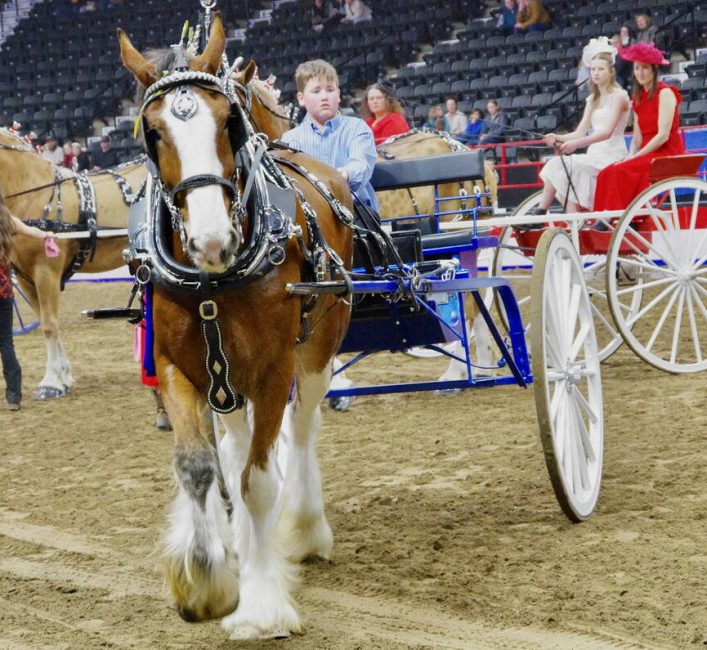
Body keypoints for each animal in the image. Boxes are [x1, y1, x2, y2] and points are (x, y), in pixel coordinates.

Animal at [0, 129, 149, 400]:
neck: (32, 193)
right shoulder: (27, 278)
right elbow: (46, 323)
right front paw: (63, 377)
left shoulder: (46, 273)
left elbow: (49, 325)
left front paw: (51, 383)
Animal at [119, 14, 353, 639]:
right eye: (153, 134)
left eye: (229, 120)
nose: (211, 242)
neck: (214, 280)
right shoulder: (175, 368)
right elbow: (200, 467)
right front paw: (205, 578)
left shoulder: (273, 370)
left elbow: (258, 481)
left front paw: (263, 604)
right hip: (226, 378)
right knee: (235, 444)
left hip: (317, 348)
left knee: (301, 429)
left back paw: (303, 529)